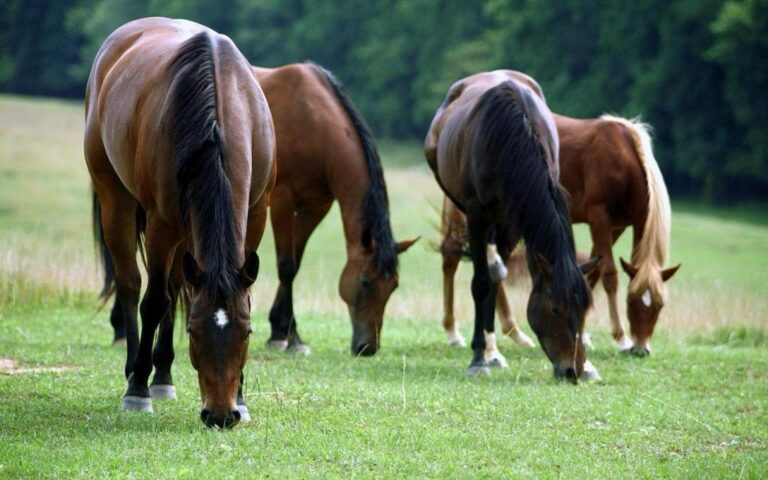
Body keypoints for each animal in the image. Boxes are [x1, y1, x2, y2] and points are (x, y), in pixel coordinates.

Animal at [85, 18, 276, 430]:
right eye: (194, 330)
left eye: (247, 330)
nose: (220, 415)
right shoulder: (160, 224)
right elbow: (154, 301)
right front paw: (137, 390)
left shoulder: (256, 213)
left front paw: (242, 398)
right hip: (116, 199)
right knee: (131, 284)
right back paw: (137, 371)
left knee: (174, 286)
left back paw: (163, 376)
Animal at [252, 62, 416, 356]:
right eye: (365, 281)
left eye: (394, 285)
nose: (367, 347)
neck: (313, 125)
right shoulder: (282, 201)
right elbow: (286, 266)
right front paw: (286, 337)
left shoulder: (316, 207)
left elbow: (296, 263)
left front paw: (284, 331)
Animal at [426, 70, 600, 382]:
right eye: (555, 309)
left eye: (584, 309)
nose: (572, 370)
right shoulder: (477, 214)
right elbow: (481, 282)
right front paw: (478, 359)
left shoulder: (516, 217)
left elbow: (495, 280)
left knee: (497, 273)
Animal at [436, 112, 680, 358]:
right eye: (631, 301)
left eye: (660, 305)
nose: (640, 349)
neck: (624, 159)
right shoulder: (599, 217)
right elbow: (609, 275)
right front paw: (620, 338)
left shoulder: (616, 226)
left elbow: (591, 273)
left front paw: (583, 334)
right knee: (452, 254)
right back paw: (454, 332)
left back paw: (513, 333)